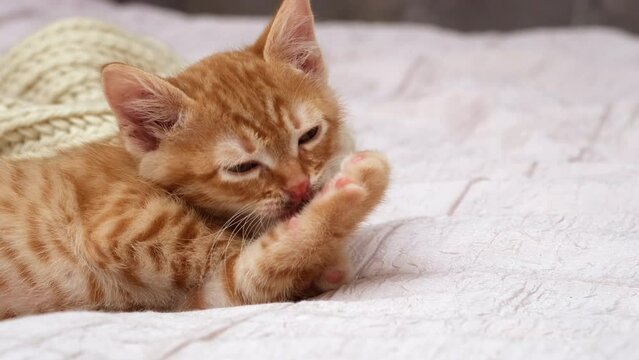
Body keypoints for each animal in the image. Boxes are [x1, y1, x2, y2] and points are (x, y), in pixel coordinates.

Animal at [0, 0, 390, 320]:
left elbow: (246, 276)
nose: (300, 187)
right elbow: (256, 259)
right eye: (242, 167)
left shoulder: (193, 300)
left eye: (309, 135)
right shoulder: (115, 226)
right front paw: (353, 196)